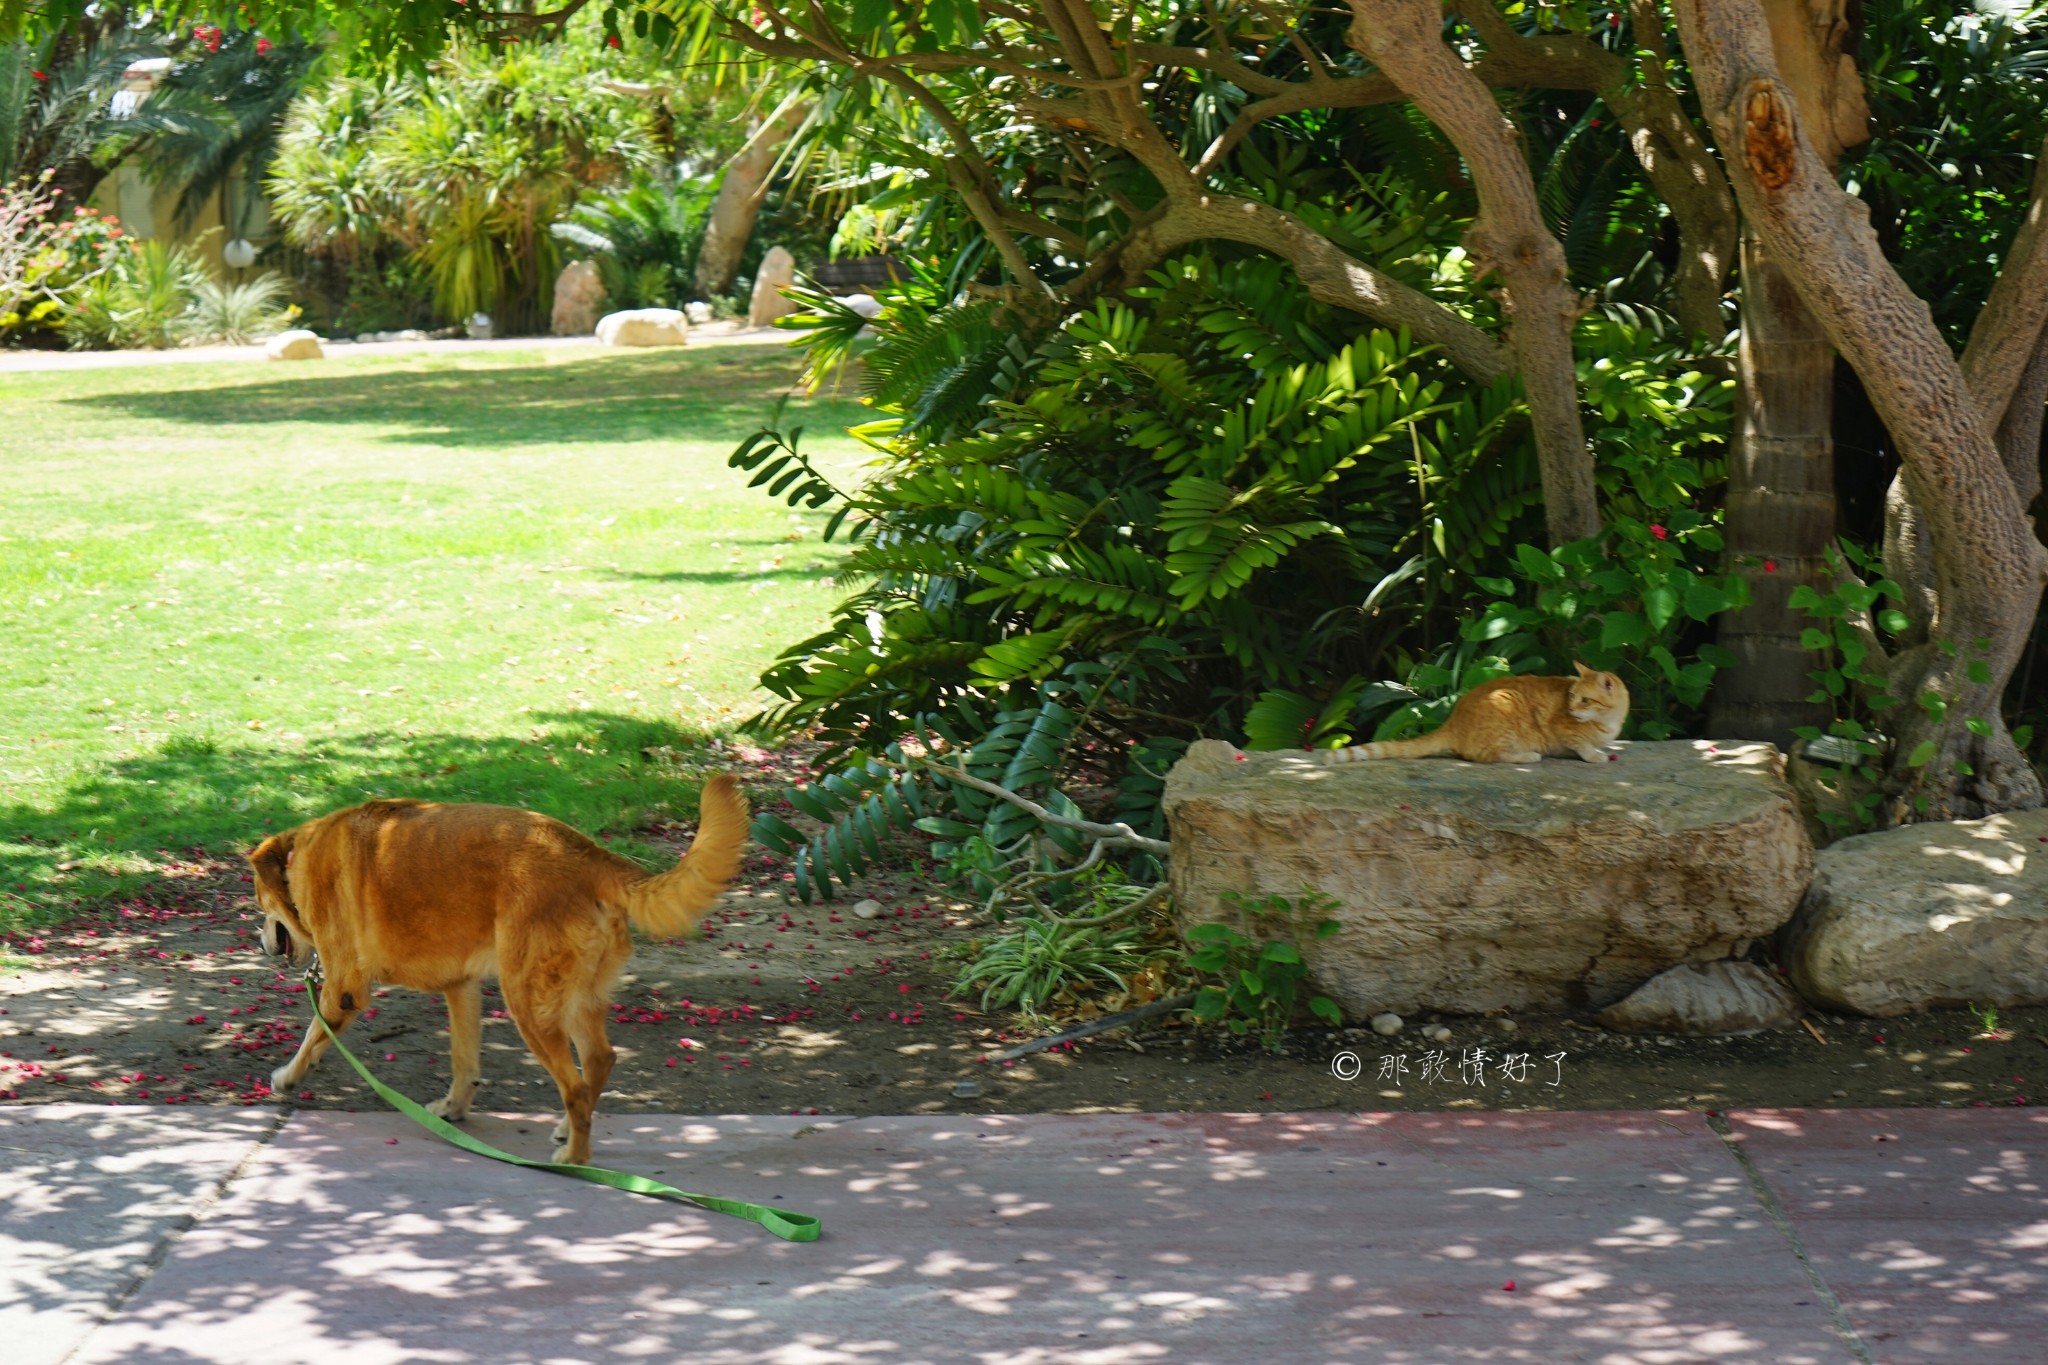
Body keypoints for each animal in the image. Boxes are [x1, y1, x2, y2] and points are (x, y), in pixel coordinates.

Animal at [243, 777, 749, 1162]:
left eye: (258, 901)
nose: (261, 943)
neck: (298, 859)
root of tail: (590, 856)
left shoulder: (343, 989)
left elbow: (312, 1037)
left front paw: (287, 1077)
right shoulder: (462, 987)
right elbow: (464, 1060)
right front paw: (453, 1108)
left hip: (529, 1002)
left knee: (575, 1085)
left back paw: (575, 1158)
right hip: (575, 997)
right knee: (599, 1061)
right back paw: (569, 1130)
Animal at [1327, 663, 1630, 769]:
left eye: (1584, 699)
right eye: (1571, 697)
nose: (1571, 710)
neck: (1609, 721)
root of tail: (1452, 721)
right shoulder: (1563, 730)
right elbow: (1581, 744)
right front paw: (1594, 754)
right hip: (1506, 705)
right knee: (1488, 756)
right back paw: (1527, 756)